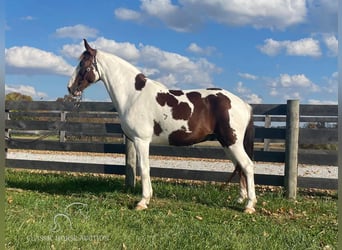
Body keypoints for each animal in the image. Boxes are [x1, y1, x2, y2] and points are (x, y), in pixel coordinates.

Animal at [67, 38, 256, 213]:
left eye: (83, 64)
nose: (70, 88)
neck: (133, 95)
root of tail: (244, 104)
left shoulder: (141, 140)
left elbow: (143, 168)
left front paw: (143, 201)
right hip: (227, 144)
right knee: (239, 167)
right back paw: (241, 199)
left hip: (232, 142)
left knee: (247, 166)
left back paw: (249, 205)